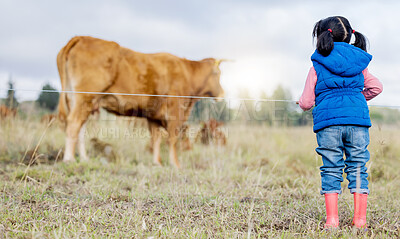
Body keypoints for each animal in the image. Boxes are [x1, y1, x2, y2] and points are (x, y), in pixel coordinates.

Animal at [56, 36, 225, 168]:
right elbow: (172, 138)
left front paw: (157, 163)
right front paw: (175, 164)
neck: (187, 73)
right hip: (85, 97)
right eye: (217, 74)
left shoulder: (154, 116)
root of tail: (81, 37)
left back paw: (84, 158)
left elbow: (156, 139)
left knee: (81, 128)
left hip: (81, 101)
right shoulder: (175, 112)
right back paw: (69, 159)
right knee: (73, 124)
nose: (222, 94)